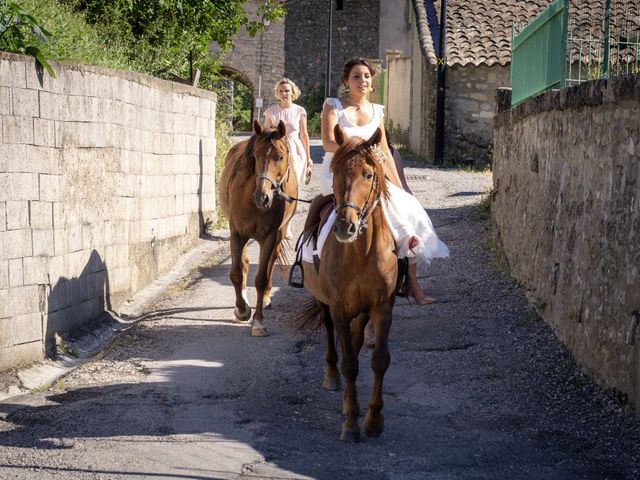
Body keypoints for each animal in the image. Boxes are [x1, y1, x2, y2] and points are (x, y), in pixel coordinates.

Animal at [218, 120, 298, 338]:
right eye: (255, 156)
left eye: (280, 157)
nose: (262, 197)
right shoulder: (237, 234)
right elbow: (237, 273)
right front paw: (242, 310)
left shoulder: (269, 237)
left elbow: (261, 278)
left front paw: (258, 322)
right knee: (244, 265)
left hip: (279, 236)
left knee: (270, 265)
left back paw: (267, 298)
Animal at [298, 124, 398, 442]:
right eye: (337, 172)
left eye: (368, 174)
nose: (345, 226)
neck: (362, 251)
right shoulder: (339, 306)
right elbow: (350, 364)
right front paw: (352, 423)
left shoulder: (382, 307)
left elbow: (379, 360)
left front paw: (374, 420)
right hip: (325, 302)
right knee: (333, 337)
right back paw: (332, 377)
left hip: (362, 309)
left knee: (353, 340)